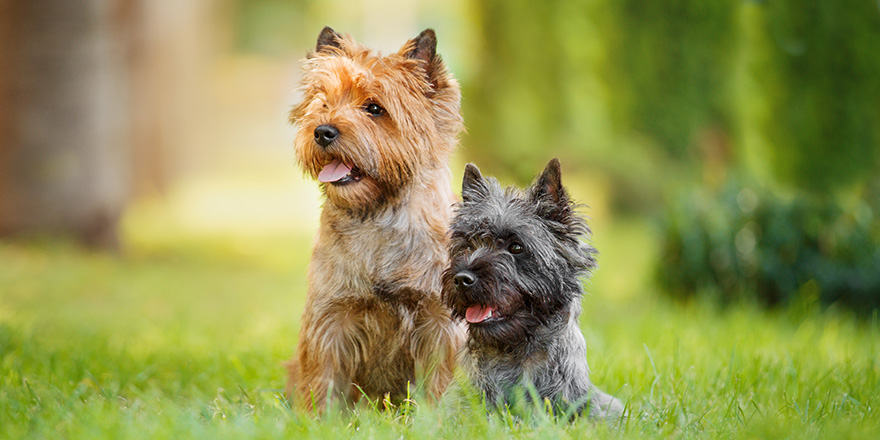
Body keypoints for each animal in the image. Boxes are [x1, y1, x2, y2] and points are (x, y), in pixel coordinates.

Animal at [288, 28, 468, 412]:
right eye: (322, 102)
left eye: (374, 108)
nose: (322, 131)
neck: (378, 216)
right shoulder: (332, 315)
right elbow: (323, 376)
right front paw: (317, 418)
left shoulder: (438, 320)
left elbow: (439, 379)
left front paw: (435, 417)